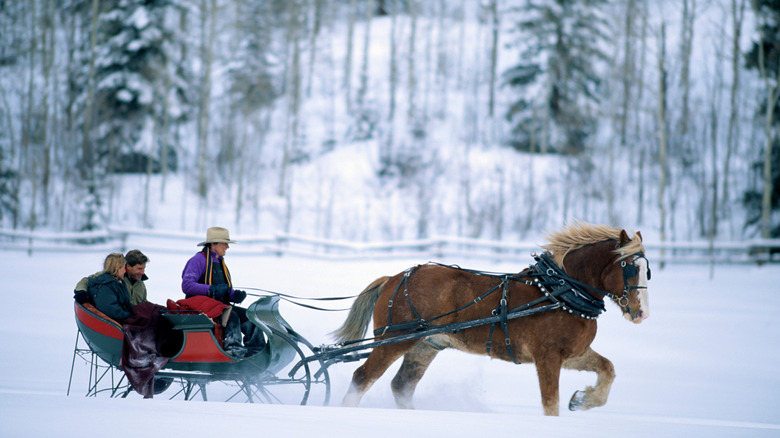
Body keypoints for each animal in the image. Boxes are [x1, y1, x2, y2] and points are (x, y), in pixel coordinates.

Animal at [332, 224, 648, 416]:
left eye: (648, 270)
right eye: (628, 267)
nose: (642, 312)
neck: (559, 291)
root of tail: (395, 278)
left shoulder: (572, 354)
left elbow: (607, 369)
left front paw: (584, 399)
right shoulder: (547, 357)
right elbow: (550, 403)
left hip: (424, 344)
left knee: (401, 386)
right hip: (395, 340)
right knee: (362, 377)